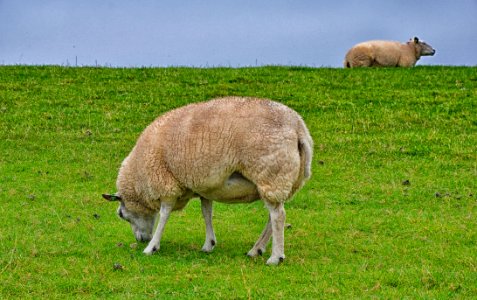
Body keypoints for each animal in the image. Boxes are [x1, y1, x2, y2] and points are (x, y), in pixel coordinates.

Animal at [101, 96, 312, 264]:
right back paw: (256, 249)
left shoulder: (166, 184)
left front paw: (152, 247)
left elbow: (164, 215)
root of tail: (298, 127)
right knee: (273, 215)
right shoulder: (204, 186)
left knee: (278, 216)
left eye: (121, 214)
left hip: (271, 174)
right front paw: (209, 244)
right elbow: (206, 212)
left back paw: (275, 257)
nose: (141, 240)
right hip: (282, 180)